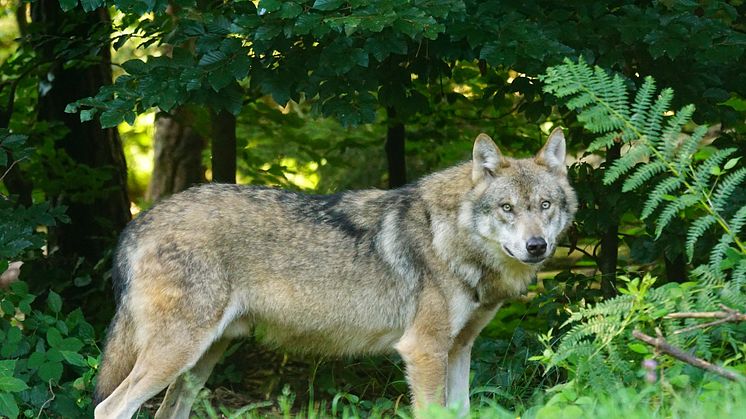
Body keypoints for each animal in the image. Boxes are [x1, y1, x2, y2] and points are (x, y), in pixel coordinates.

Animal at [93, 130, 580, 418]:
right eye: (507, 208)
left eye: (544, 206)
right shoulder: (423, 351)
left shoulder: (459, 350)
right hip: (177, 354)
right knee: (109, 409)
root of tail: (139, 222)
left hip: (201, 360)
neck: (449, 236)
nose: (537, 246)